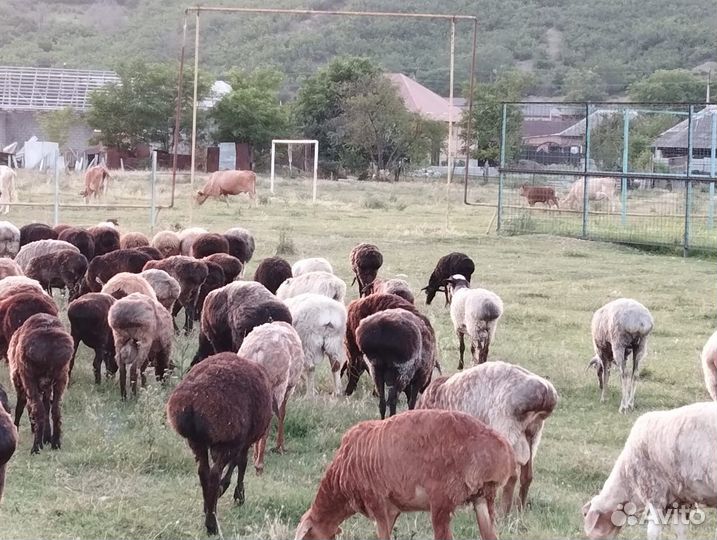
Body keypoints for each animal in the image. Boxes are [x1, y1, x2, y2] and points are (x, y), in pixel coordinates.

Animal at [8, 313, 73, 453]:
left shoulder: (22, 382)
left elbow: (21, 408)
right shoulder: (48, 386)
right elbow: (47, 406)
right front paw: (47, 437)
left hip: (29, 378)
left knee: (38, 409)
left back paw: (36, 447)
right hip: (61, 377)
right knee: (55, 410)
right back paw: (55, 443)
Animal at [166, 352, 272, 535]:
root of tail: (193, 401)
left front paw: (214, 499)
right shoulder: (242, 441)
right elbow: (241, 463)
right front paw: (237, 495)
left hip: (197, 441)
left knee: (203, 472)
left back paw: (208, 509)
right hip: (226, 438)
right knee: (215, 473)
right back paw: (212, 524)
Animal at [237, 321, 304, 473]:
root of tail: (258, 350)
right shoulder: (288, 388)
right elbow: (282, 414)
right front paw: (280, 446)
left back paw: (254, 456)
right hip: (277, 384)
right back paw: (259, 463)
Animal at [418, 361, 558, 513]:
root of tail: (545, 392)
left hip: (507, 429)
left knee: (512, 476)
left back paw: (504, 512)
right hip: (532, 435)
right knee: (527, 476)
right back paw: (519, 509)